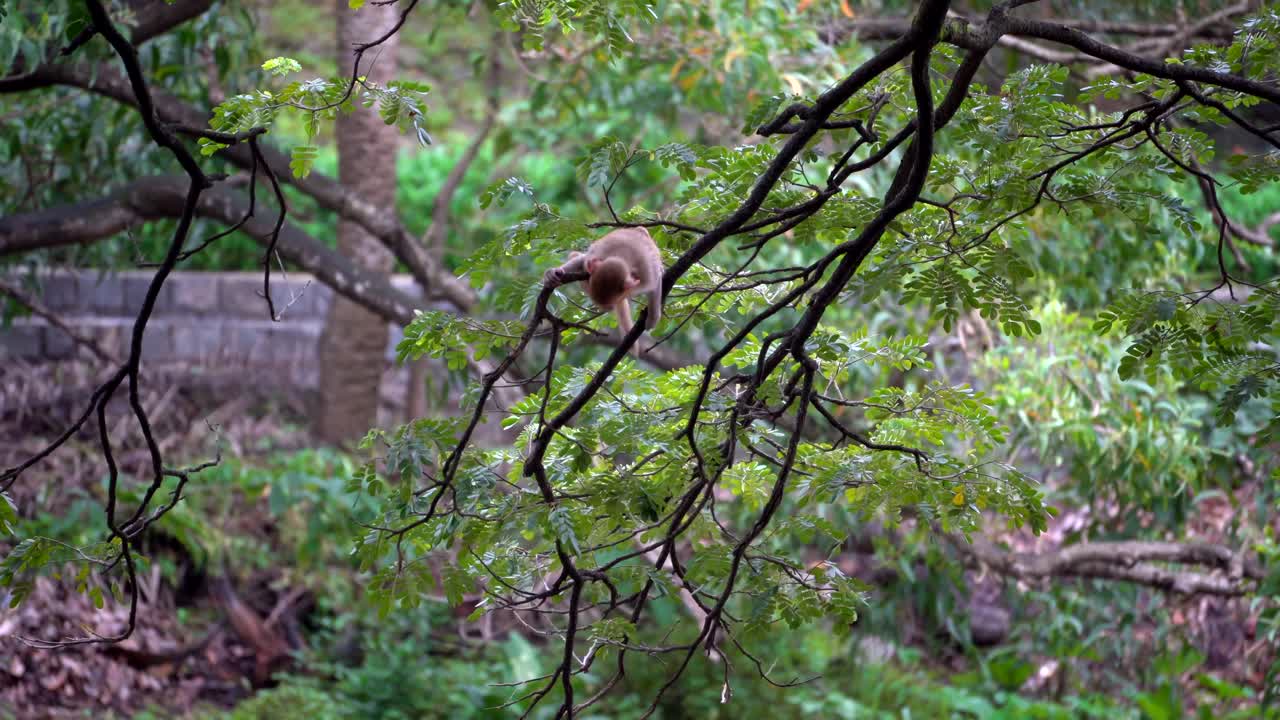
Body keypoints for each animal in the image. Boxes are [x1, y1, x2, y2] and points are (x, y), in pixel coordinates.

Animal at [543, 226, 664, 355]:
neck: (621, 256)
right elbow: (582, 260)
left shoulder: (647, 275)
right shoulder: (595, 256)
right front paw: (553, 272)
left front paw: (653, 318)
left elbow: (655, 283)